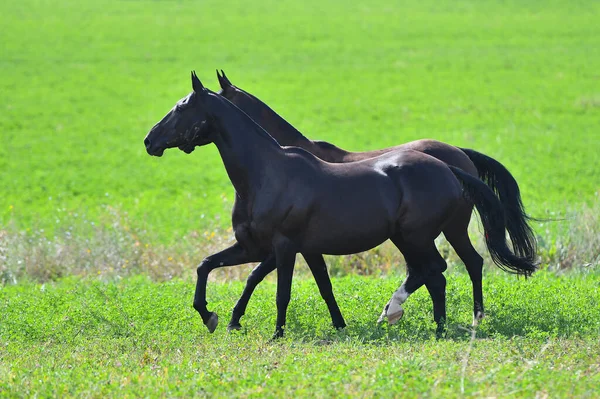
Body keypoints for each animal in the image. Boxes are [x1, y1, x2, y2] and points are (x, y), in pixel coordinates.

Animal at [144, 72, 536, 338]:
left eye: (180, 107)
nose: (149, 141)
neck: (266, 173)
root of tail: (451, 165)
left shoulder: (283, 247)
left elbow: (279, 290)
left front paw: (276, 335)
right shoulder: (262, 247)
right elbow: (209, 266)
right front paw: (216, 317)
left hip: (421, 235)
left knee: (440, 270)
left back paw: (429, 319)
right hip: (412, 237)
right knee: (438, 272)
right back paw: (432, 323)